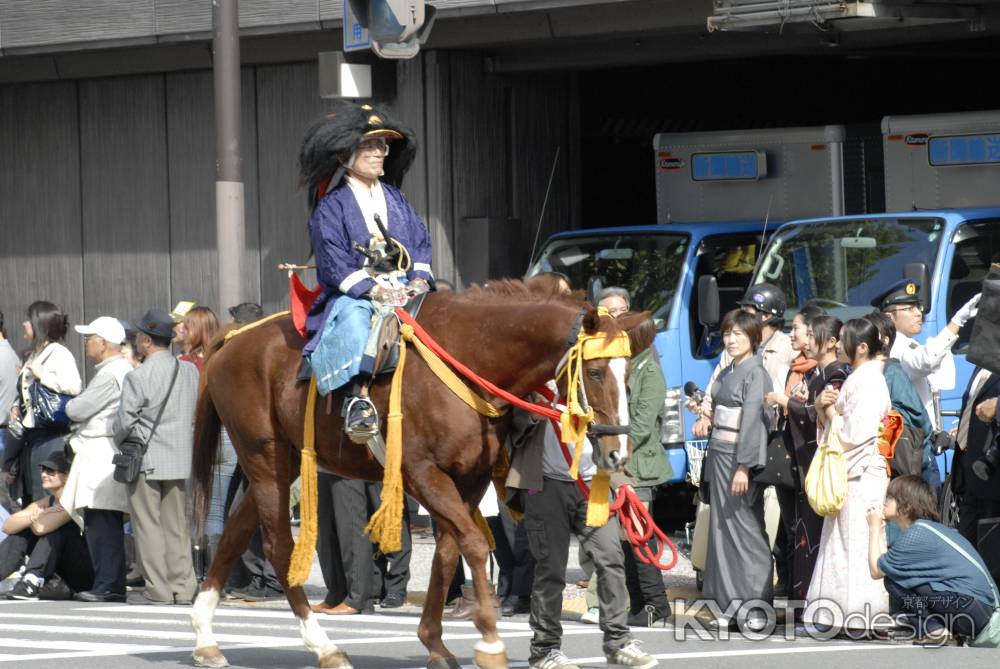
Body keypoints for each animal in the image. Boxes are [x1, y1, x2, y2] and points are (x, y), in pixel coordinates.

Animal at [187, 280, 644, 668]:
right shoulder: (421, 471)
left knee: (235, 533)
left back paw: (206, 636)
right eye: (596, 373)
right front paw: (489, 640)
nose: (617, 452)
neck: (472, 356)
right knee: (278, 544)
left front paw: (435, 642)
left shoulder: (470, 479)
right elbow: (474, 544)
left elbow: (448, 551)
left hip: (277, 462)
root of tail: (232, 340)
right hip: (262, 454)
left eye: (629, 373)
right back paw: (323, 645)